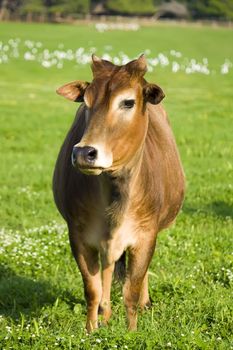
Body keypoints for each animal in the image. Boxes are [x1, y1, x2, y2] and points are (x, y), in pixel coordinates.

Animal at [53, 54, 186, 330]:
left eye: (128, 102)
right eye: (86, 102)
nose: (84, 152)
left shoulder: (145, 235)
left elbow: (131, 291)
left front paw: (131, 331)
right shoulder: (78, 234)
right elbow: (92, 288)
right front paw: (91, 329)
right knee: (107, 267)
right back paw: (105, 311)